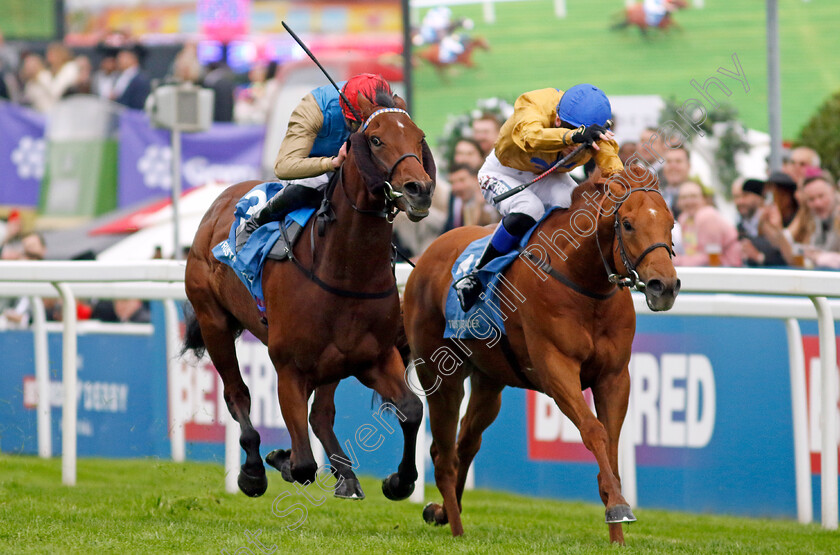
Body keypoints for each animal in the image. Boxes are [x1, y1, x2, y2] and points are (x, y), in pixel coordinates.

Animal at [182, 88, 434, 504]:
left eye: (419, 138)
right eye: (376, 139)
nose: (421, 190)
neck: (345, 270)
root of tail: (221, 199)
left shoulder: (375, 358)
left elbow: (411, 410)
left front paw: (399, 482)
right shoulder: (289, 367)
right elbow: (302, 465)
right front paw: (279, 459)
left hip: (333, 362)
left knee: (320, 415)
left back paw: (346, 476)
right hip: (213, 320)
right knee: (238, 395)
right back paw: (254, 470)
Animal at [404, 166, 680, 548]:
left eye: (670, 223)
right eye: (627, 224)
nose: (664, 286)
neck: (583, 280)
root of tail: (425, 257)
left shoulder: (614, 377)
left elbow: (611, 446)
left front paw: (617, 533)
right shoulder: (556, 369)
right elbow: (594, 431)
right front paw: (617, 508)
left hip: (489, 381)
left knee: (466, 443)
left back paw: (444, 512)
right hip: (440, 375)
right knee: (443, 455)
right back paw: (456, 527)